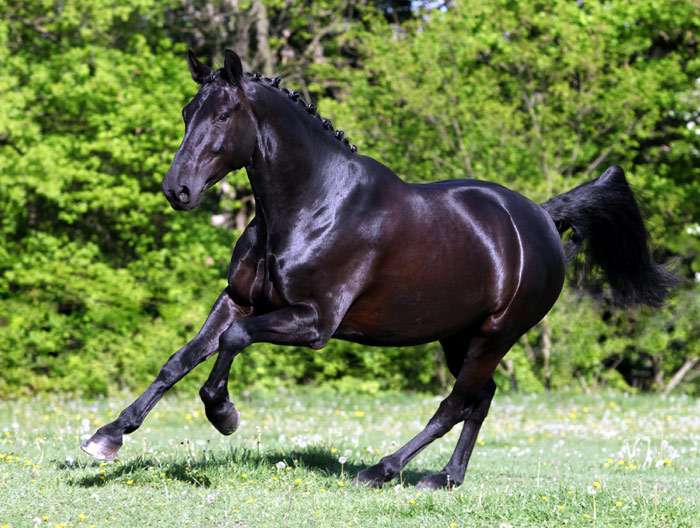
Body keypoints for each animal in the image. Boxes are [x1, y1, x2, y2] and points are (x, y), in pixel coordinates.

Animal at [80, 50, 672, 490]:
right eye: (188, 112)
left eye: (223, 115)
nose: (177, 190)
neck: (314, 205)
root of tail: (543, 219)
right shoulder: (238, 299)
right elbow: (179, 360)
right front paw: (107, 436)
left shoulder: (313, 323)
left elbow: (234, 342)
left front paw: (224, 414)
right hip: (459, 335)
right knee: (479, 399)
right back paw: (445, 478)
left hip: (497, 334)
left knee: (455, 402)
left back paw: (383, 469)